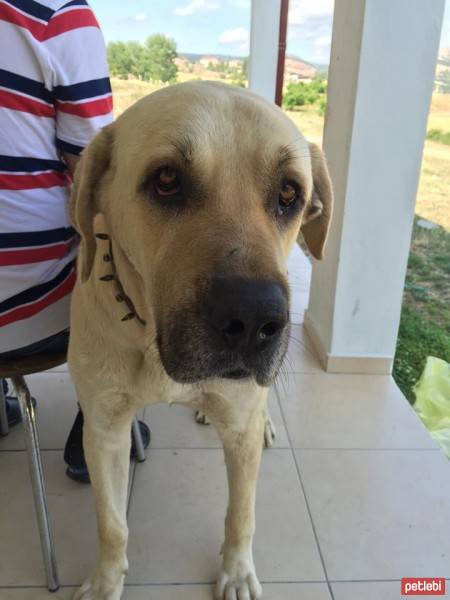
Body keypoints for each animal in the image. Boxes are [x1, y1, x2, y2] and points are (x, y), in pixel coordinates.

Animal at [68, 81, 332, 600]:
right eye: (167, 180)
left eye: (289, 192)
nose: (254, 319)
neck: (152, 342)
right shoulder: (104, 429)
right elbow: (111, 523)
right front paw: (106, 581)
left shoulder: (241, 431)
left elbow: (241, 514)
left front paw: (236, 572)